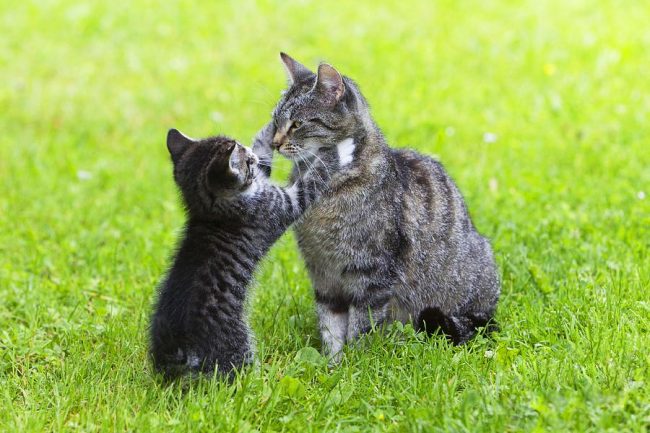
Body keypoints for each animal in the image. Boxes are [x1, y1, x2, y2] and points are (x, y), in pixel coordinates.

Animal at [149, 123, 350, 376]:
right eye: (246, 161)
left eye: (245, 150)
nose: (250, 153)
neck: (211, 212)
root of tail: (178, 349)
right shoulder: (280, 206)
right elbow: (311, 182)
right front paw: (337, 151)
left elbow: (266, 155)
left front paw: (271, 129)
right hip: (236, 345)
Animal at [270, 53, 498, 362]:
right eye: (275, 121)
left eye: (296, 124)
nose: (274, 143)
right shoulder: (324, 275)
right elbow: (330, 326)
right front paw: (332, 363)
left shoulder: (371, 276)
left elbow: (360, 327)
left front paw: (354, 364)